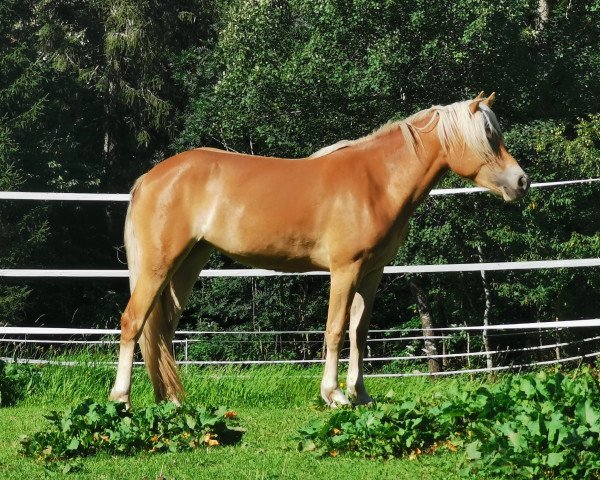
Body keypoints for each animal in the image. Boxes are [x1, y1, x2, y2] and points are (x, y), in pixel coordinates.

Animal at [109, 92, 528, 406]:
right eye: (489, 136)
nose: (521, 182)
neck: (377, 180)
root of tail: (150, 178)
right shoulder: (345, 270)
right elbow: (335, 330)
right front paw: (335, 395)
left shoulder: (371, 273)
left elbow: (359, 332)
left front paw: (361, 395)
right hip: (158, 266)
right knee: (133, 322)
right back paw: (122, 399)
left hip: (187, 265)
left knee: (162, 331)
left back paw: (171, 401)